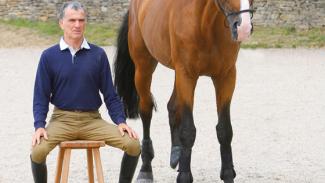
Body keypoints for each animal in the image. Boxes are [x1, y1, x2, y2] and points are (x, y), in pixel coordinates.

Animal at [113, 0, 253, 182]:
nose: (244, 28)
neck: (205, 24)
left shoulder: (226, 77)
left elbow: (224, 130)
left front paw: (228, 174)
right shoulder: (187, 75)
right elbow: (188, 131)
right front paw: (185, 176)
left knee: (172, 106)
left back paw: (176, 154)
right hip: (143, 68)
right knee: (146, 110)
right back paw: (146, 169)